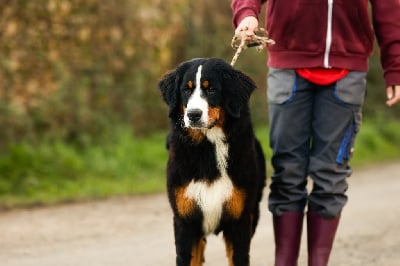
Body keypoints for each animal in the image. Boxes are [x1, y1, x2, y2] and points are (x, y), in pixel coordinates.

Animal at [159, 57, 266, 264]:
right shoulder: (185, 221)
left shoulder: (239, 222)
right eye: (186, 89)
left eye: (211, 90)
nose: (193, 114)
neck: (208, 148)